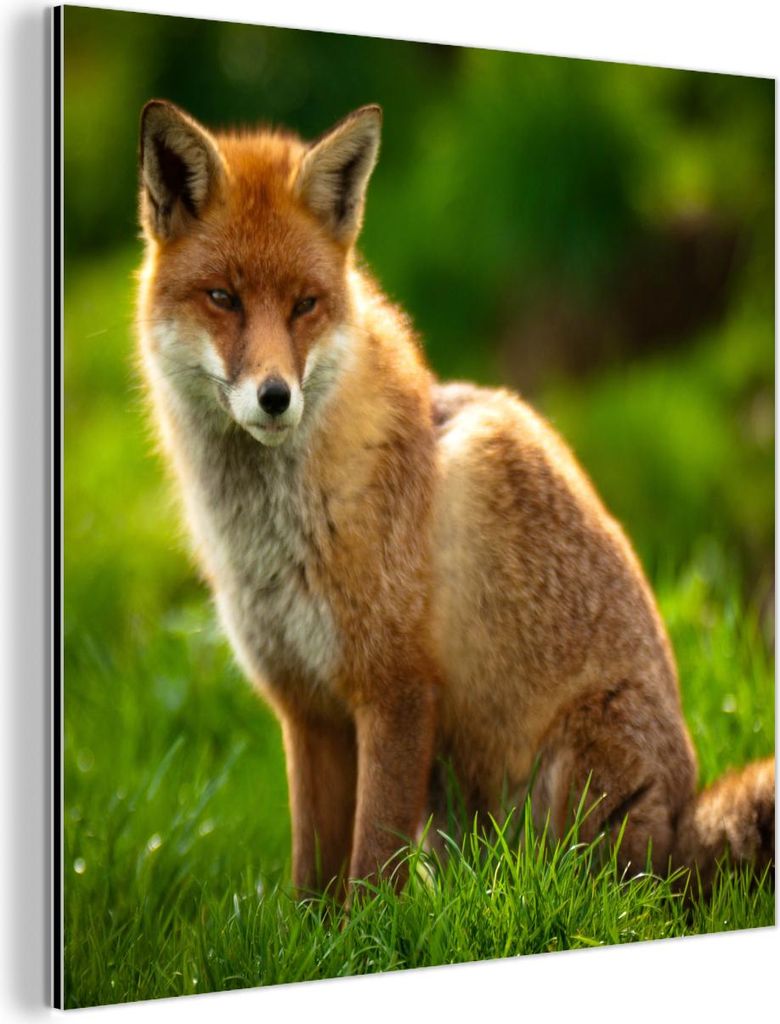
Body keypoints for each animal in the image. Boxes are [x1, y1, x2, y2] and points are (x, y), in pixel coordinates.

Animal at [136, 98, 775, 898]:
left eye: (305, 305)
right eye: (222, 298)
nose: (275, 397)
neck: (274, 538)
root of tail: (682, 831)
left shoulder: (397, 688)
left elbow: (370, 865)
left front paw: (363, 928)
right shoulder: (306, 707)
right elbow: (311, 874)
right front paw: (310, 926)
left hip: (571, 783)